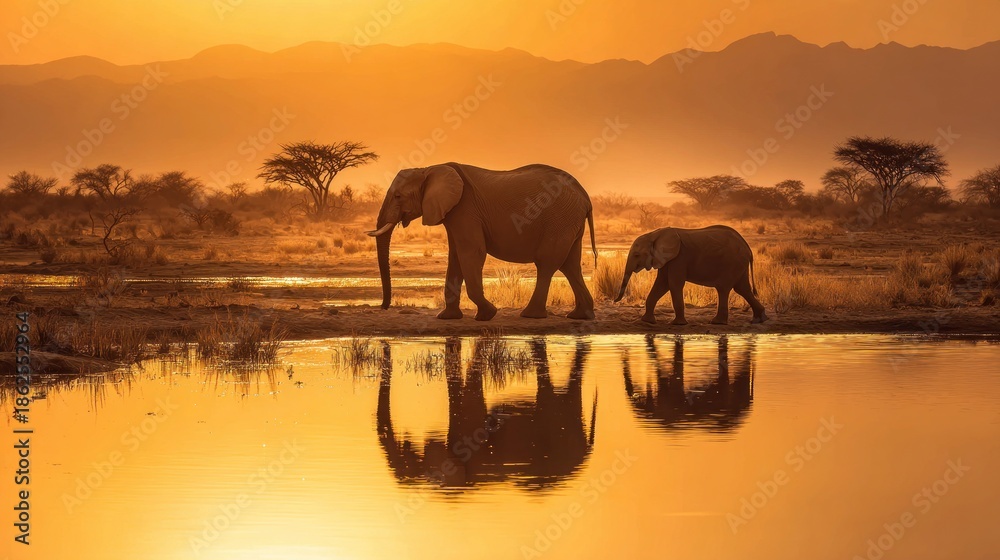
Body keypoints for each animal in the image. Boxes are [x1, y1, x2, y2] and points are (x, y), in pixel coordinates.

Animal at [366, 163, 597, 321]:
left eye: (398, 196)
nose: (383, 307)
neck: (429, 169)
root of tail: (585, 195)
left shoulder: (465, 208)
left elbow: (472, 252)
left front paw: (487, 314)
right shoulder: (454, 212)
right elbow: (456, 257)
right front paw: (447, 317)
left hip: (559, 219)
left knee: (547, 263)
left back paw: (530, 315)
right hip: (568, 221)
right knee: (570, 265)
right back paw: (580, 315)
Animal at [614, 225, 768, 325]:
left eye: (636, 255)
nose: (615, 301)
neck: (654, 234)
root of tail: (748, 248)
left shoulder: (679, 258)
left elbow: (673, 284)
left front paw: (678, 324)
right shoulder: (667, 259)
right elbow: (662, 283)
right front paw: (648, 321)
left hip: (732, 263)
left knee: (724, 288)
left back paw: (717, 322)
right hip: (739, 264)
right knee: (742, 288)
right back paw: (759, 319)